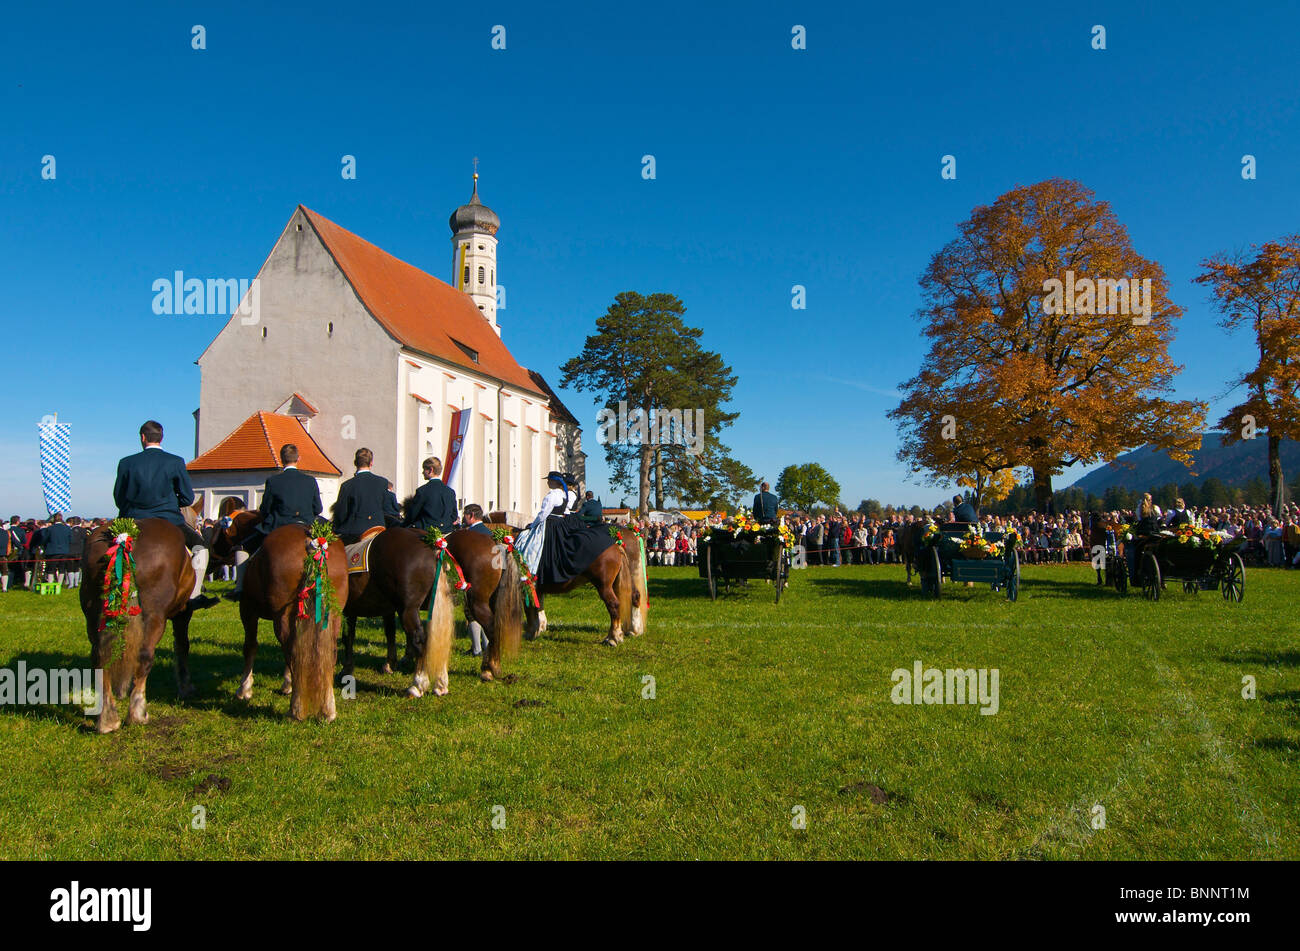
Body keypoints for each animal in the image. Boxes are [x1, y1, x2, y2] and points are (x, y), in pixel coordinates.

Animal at [78, 504, 202, 737]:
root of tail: (124, 537)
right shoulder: (183, 613)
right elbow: (182, 645)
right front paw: (185, 685)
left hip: (93, 613)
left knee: (100, 657)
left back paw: (107, 717)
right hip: (154, 616)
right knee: (145, 655)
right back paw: (137, 712)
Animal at [230, 519, 348, 722]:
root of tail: (314, 542)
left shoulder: (247, 608)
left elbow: (250, 646)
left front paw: (244, 688)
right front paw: (288, 684)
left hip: (281, 615)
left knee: (291, 651)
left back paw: (296, 710)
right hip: (333, 616)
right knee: (329, 654)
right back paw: (328, 710)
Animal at [343, 527, 454, 696]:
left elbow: (347, 635)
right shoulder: (385, 610)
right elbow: (388, 632)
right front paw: (389, 663)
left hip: (408, 610)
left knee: (420, 639)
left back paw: (418, 685)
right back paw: (440, 684)